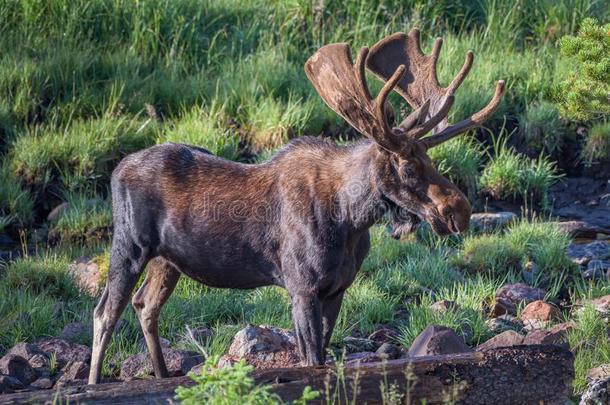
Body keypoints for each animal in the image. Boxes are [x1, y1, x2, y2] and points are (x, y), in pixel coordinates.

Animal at [88, 28, 502, 382]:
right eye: (408, 166)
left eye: (430, 159)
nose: (459, 210)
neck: (351, 220)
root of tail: (117, 169)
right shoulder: (302, 287)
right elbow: (312, 359)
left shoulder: (337, 289)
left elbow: (323, 352)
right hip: (130, 245)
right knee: (105, 311)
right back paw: (94, 382)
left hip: (168, 259)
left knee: (145, 306)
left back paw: (162, 375)